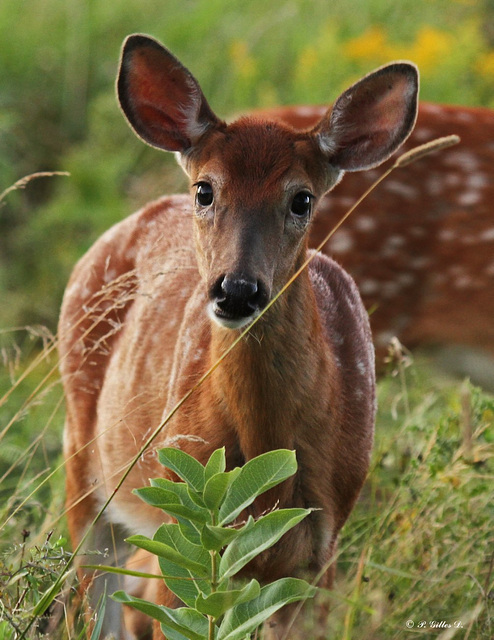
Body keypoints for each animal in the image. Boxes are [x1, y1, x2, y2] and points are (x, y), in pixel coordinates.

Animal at [59, 35, 418, 640]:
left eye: (302, 199)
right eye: (206, 190)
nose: (237, 289)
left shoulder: (317, 554)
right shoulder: (185, 530)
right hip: (85, 460)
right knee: (95, 591)